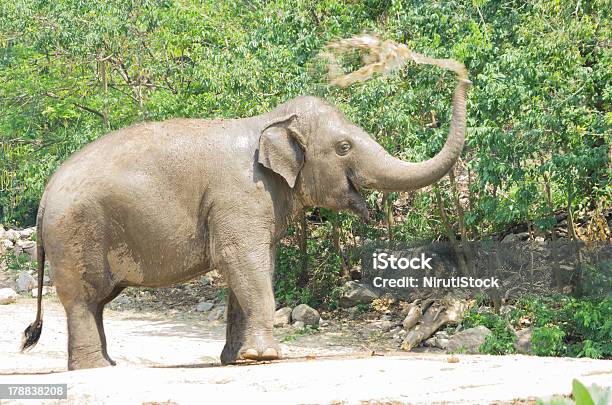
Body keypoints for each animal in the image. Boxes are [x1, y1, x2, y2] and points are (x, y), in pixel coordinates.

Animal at [19, 76, 468, 370]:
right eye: (343, 147)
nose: (459, 74)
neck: (270, 120)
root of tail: (44, 196)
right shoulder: (240, 197)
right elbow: (241, 262)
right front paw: (264, 357)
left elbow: (254, 268)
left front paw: (237, 359)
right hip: (75, 234)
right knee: (84, 300)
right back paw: (96, 370)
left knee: (95, 303)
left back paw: (107, 365)